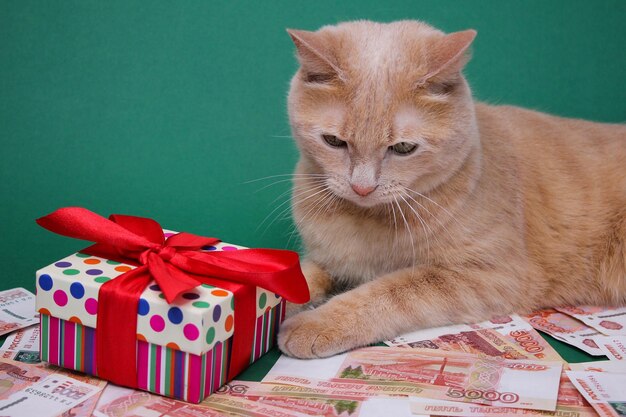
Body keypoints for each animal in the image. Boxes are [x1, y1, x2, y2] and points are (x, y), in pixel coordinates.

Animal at [278, 19, 624, 358]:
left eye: (403, 148)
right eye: (334, 142)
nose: (362, 187)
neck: (366, 222)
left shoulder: (489, 276)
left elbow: (389, 291)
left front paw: (318, 322)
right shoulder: (327, 259)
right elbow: (299, 278)